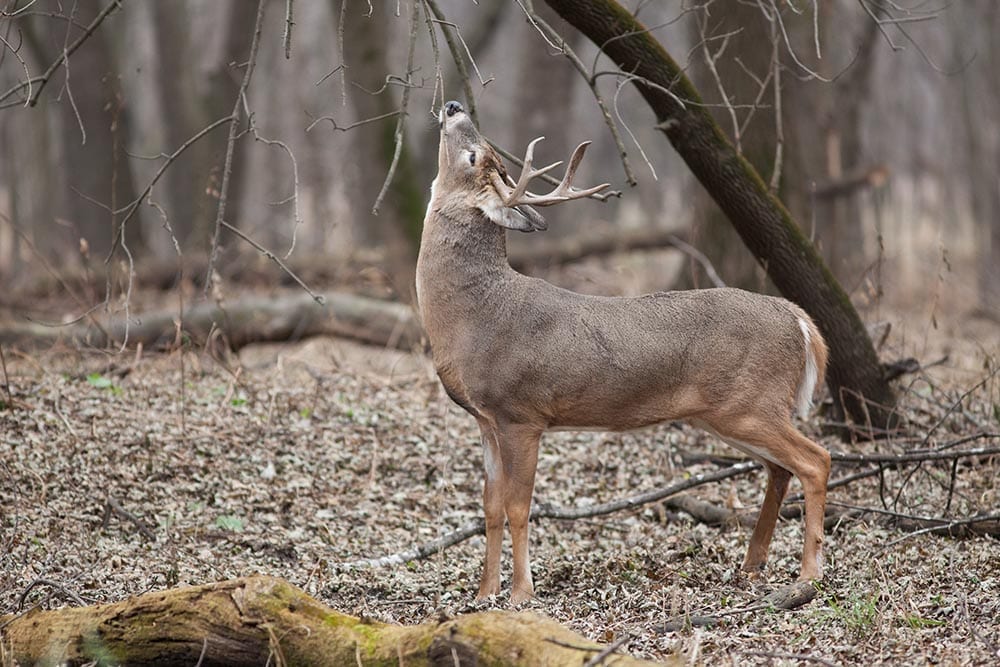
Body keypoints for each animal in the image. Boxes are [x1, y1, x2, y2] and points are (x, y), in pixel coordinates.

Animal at [418, 100, 832, 604]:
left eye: (473, 155)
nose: (453, 105)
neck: (474, 315)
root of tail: (799, 319)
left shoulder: (522, 413)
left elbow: (519, 505)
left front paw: (520, 595)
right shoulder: (485, 418)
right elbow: (491, 506)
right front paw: (483, 595)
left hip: (750, 403)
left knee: (815, 460)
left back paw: (808, 574)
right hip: (729, 412)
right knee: (779, 468)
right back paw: (753, 564)